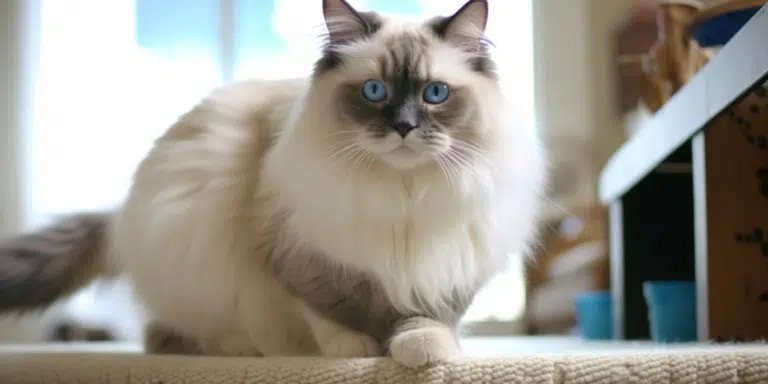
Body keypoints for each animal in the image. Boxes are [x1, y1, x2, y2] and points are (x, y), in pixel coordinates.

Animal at [0, 0, 544, 368]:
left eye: (435, 94)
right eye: (374, 91)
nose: (404, 128)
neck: (403, 194)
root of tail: (123, 217)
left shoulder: (450, 262)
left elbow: (431, 316)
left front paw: (421, 349)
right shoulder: (295, 254)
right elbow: (329, 309)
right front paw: (357, 348)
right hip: (192, 241)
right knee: (167, 333)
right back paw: (243, 349)